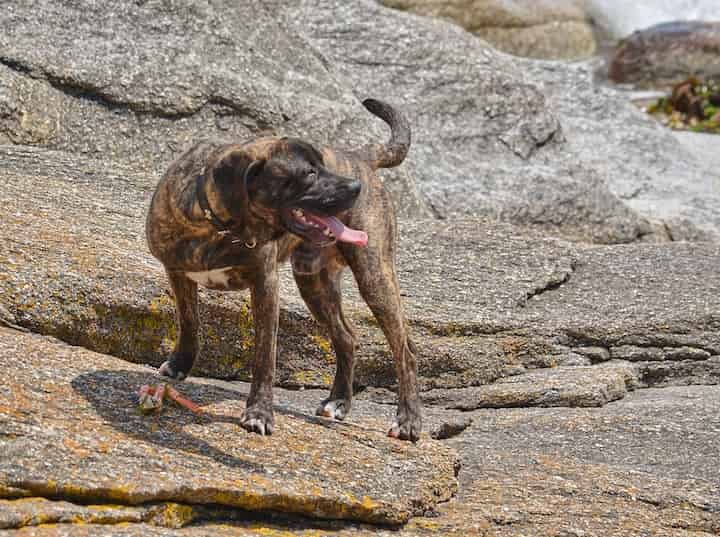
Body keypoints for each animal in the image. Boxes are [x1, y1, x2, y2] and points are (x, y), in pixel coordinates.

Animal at [143, 99, 420, 440]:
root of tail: (360, 157)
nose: (356, 187)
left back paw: (408, 420)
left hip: (374, 276)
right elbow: (189, 320)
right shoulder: (177, 272)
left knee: (405, 351)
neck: (221, 227)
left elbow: (265, 356)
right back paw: (339, 401)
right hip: (314, 283)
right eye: (310, 173)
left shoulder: (265, 285)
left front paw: (259, 413)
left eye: (324, 165)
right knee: (346, 337)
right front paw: (180, 363)